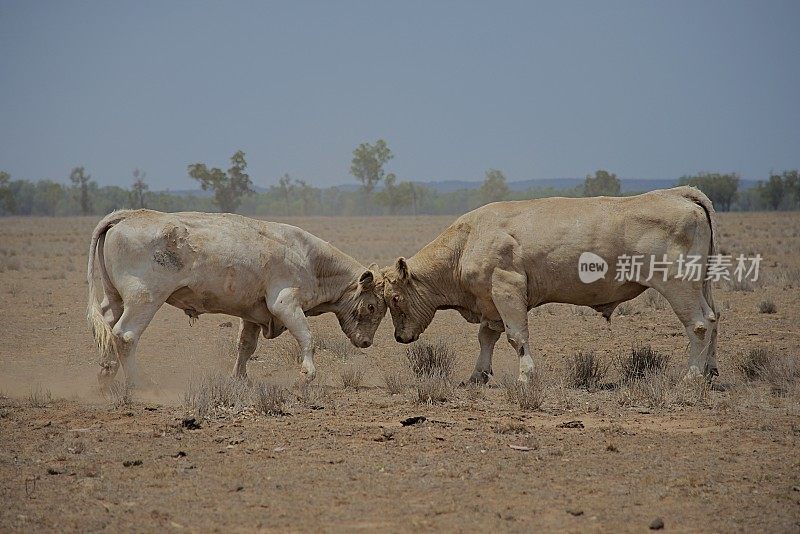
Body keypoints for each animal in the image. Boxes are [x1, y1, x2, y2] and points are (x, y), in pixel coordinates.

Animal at [87, 210, 388, 390]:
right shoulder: (286, 305)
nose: (366, 342)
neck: (311, 260)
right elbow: (307, 338)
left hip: (116, 298)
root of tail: (125, 216)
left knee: (107, 326)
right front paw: (307, 374)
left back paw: (106, 374)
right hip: (145, 298)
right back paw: (139, 383)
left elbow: (245, 346)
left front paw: (240, 378)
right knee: (125, 335)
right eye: (372, 306)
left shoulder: (253, 314)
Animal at [382, 187, 720, 386]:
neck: (467, 242)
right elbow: (486, 338)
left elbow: (516, 337)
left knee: (699, 324)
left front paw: (525, 376)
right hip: (701, 283)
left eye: (395, 298)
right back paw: (710, 370)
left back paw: (691, 376)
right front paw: (478, 375)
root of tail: (680, 194)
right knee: (713, 319)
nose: (399, 337)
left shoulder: (507, 290)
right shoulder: (490, 304)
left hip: (679, 284)